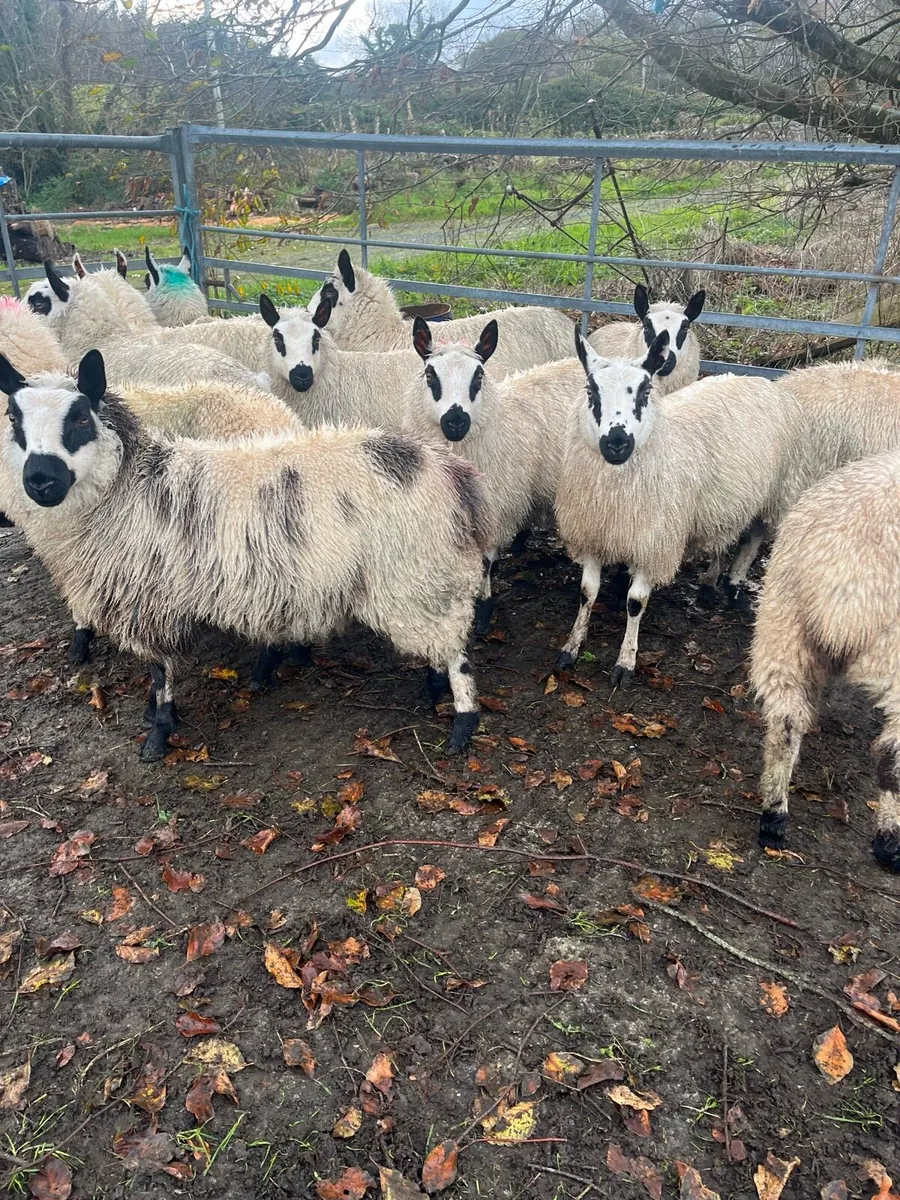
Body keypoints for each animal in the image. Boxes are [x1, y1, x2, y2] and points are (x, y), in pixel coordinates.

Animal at [0, 348, 491, 760]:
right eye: (14, 419)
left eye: (81, 418)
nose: (40, 479)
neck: (127, 489)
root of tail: (452, 471)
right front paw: (153, 714)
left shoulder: (149, 597)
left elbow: (160, 671)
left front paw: (159, 731)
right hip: (424, 579)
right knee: (440, 644)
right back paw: (429, 692)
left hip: (416, 573)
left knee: (457, 653)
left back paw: (461, 727)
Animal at [402, 316, 584, 629]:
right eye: (430, 375)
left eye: (478, 377)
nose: (456, 421)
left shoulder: (494, 506)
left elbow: (485, 560)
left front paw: (483, 610)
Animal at [554, 329, 802, 681]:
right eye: (591, 390)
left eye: (645, 391)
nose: (617, 443)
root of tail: (758, 380)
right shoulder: (594, 533)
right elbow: (587, 592)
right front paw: (571, 647)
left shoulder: (656, 542)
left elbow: (636, 602)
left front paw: (626, 662)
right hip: (727, 502)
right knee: (726, 536)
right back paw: (710, 585)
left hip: (777, 490)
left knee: (752, 538)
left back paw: (734, 586)